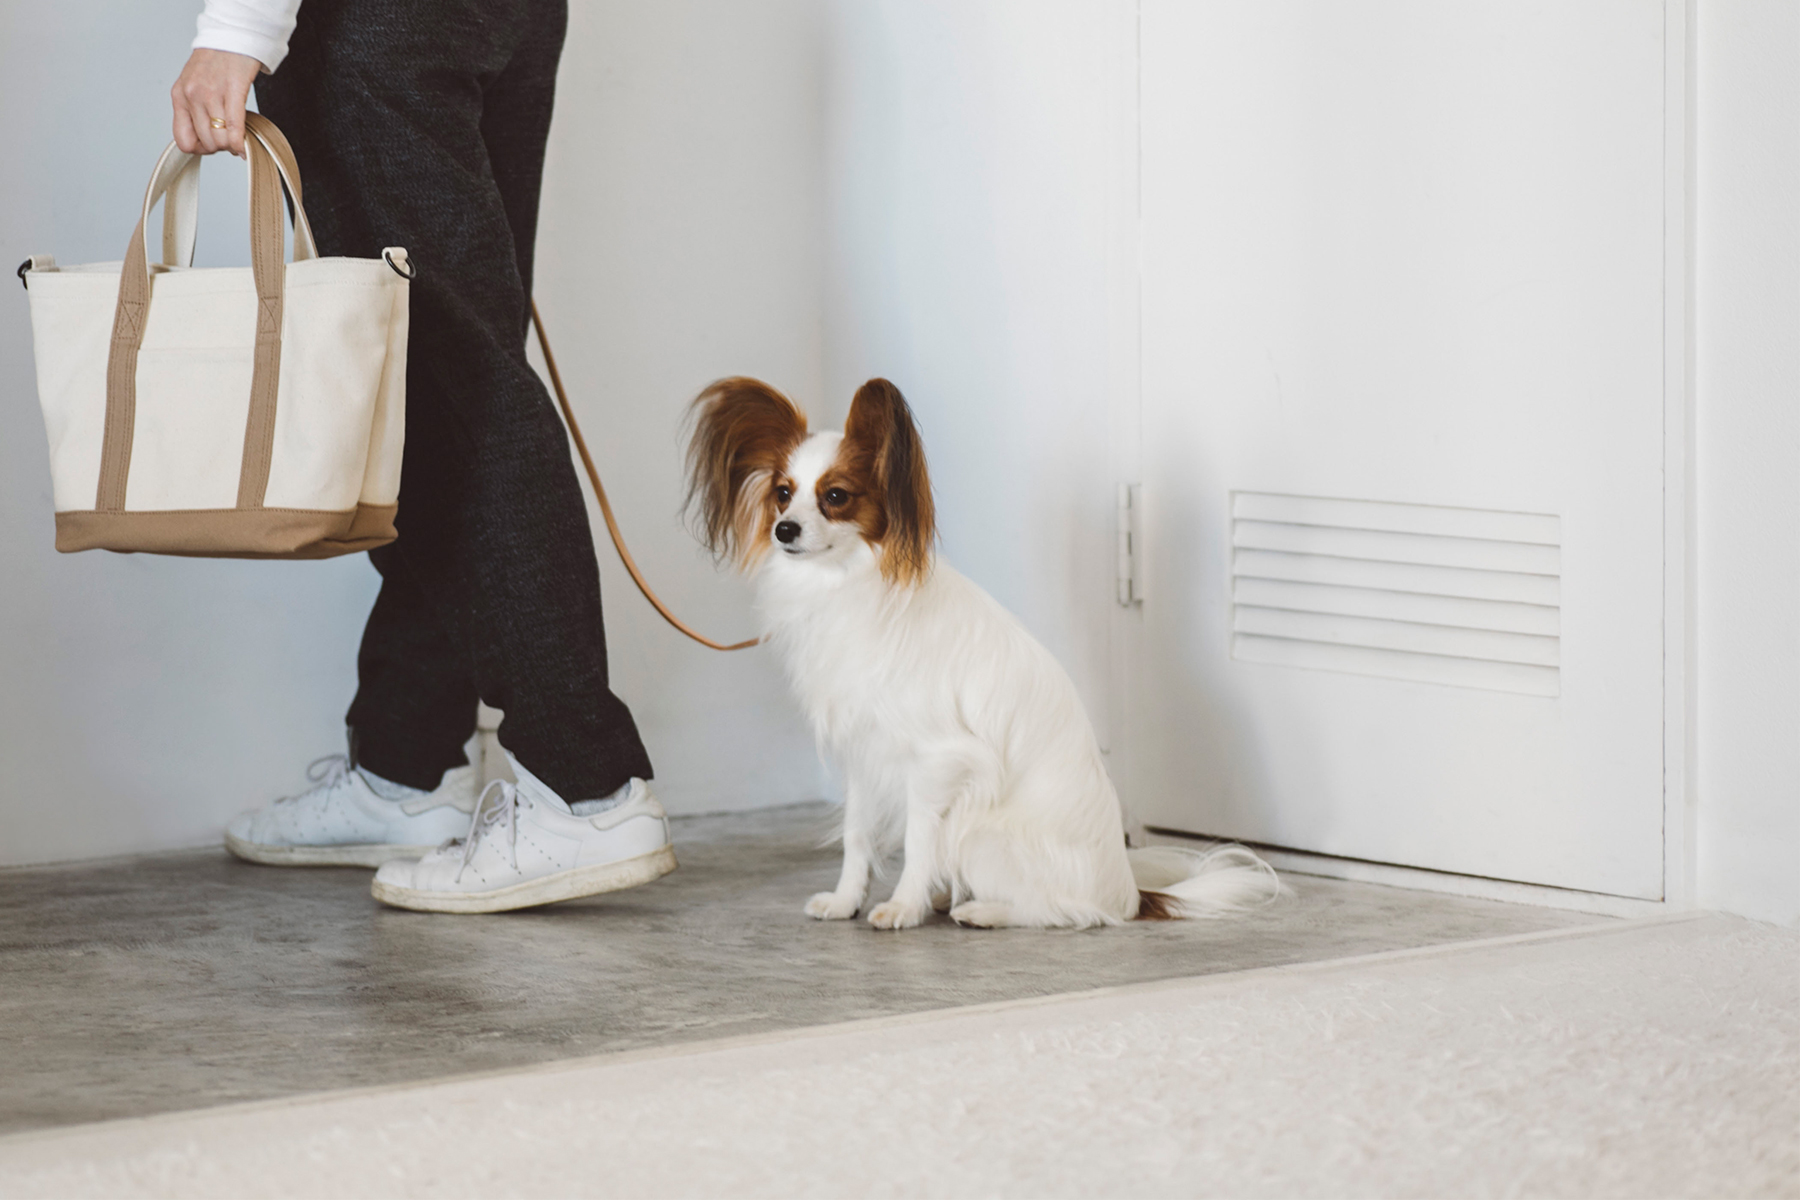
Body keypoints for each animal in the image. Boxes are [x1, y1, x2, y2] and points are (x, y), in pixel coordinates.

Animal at [684, 376, 1281, 928]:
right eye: (783, 493)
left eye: (835, 496)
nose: (784, 530)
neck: (846, 583)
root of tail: (1132, 893)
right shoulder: (864, 753)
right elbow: (857, 836)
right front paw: (846, 901)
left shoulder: (938, 761)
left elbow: (919, 840)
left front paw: (902, 907)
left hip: (981, 832)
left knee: (1075, 912)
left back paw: (984, 910)